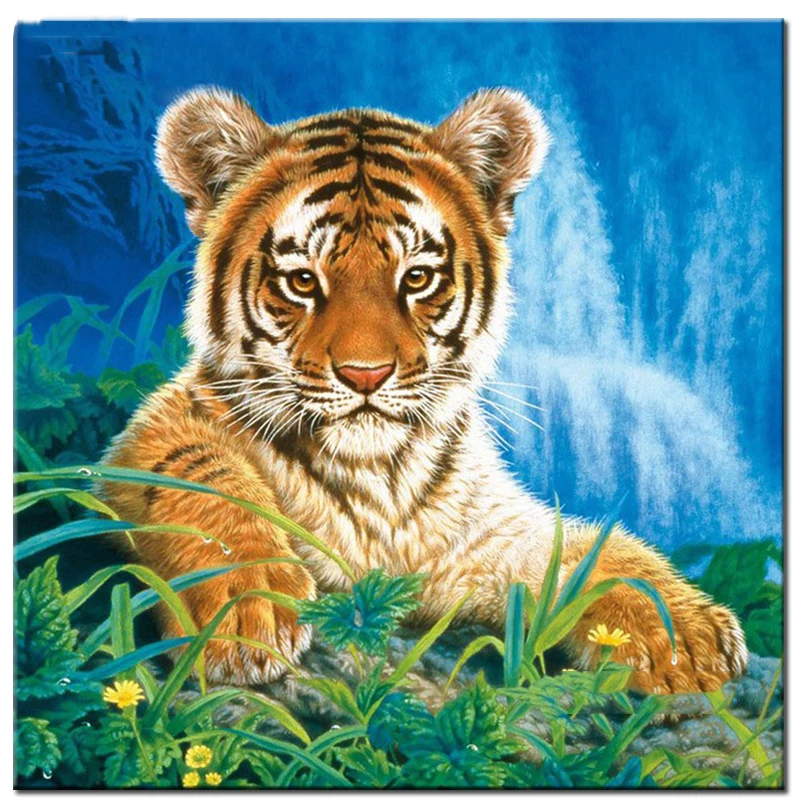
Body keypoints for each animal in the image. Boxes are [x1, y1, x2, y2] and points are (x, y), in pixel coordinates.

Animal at [101, 86, 748, 693]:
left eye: (416, 277)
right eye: (303, 281)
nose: (365, 374)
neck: (377, 482)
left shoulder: (475, 546)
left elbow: (584, 549)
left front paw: (683, 632)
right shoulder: (150, 431)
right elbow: (201, 480)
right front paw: (246, 608)